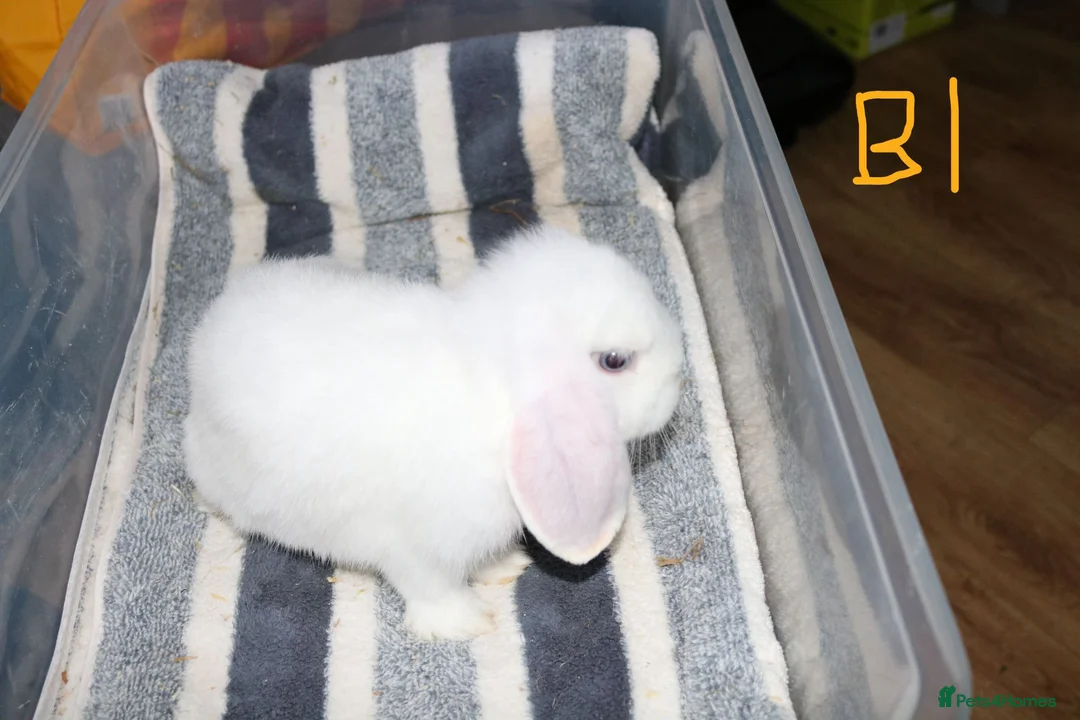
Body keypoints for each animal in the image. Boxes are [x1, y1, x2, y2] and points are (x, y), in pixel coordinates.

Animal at [182, 223, 685, 642]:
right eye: (615, 361)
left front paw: (507, 566)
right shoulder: (412, 547)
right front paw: (466, 623)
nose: (678, 381)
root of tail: (207, 332)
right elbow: (430, 587)